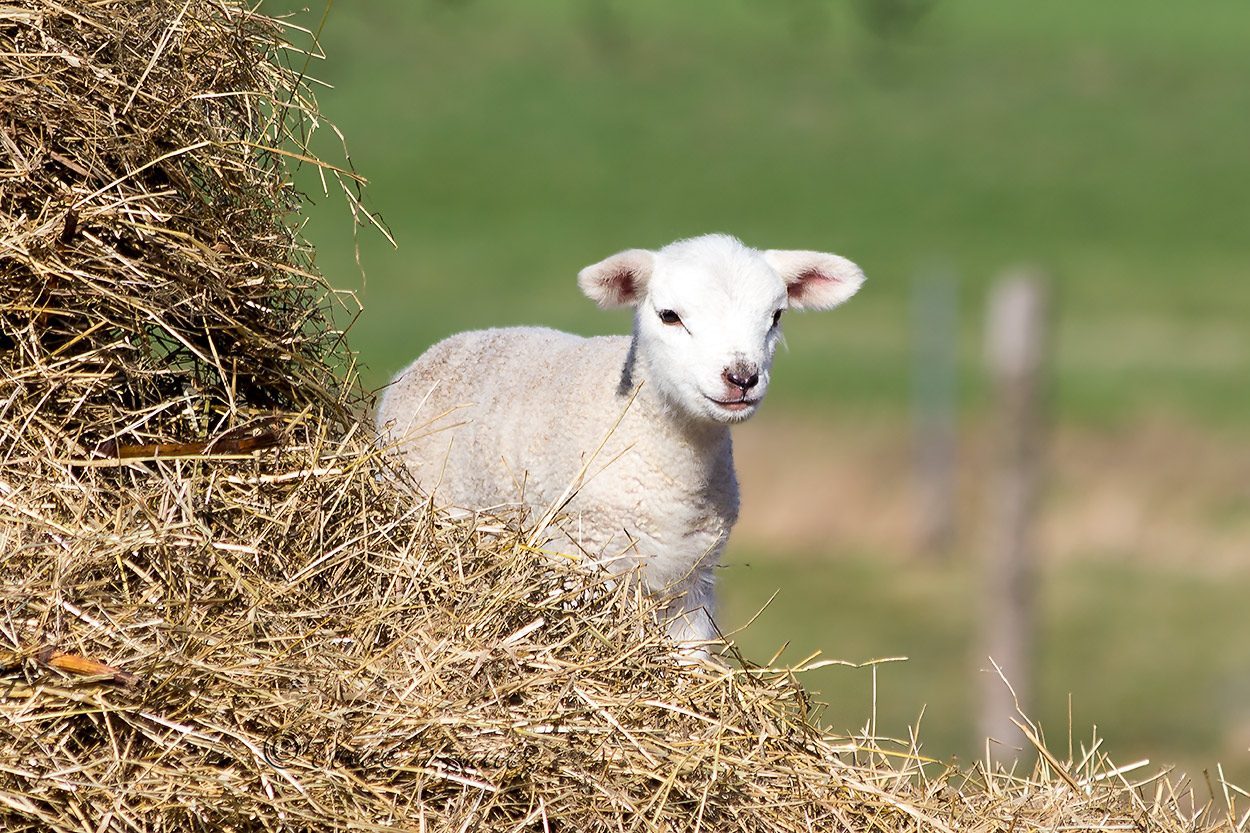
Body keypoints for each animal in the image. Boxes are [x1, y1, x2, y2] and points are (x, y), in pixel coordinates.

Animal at [375, 231, 865, 650]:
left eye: (776, 316)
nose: (742, 378)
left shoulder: (691, 582)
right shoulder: (581, 556)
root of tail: (447, 344)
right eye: (669, 315)